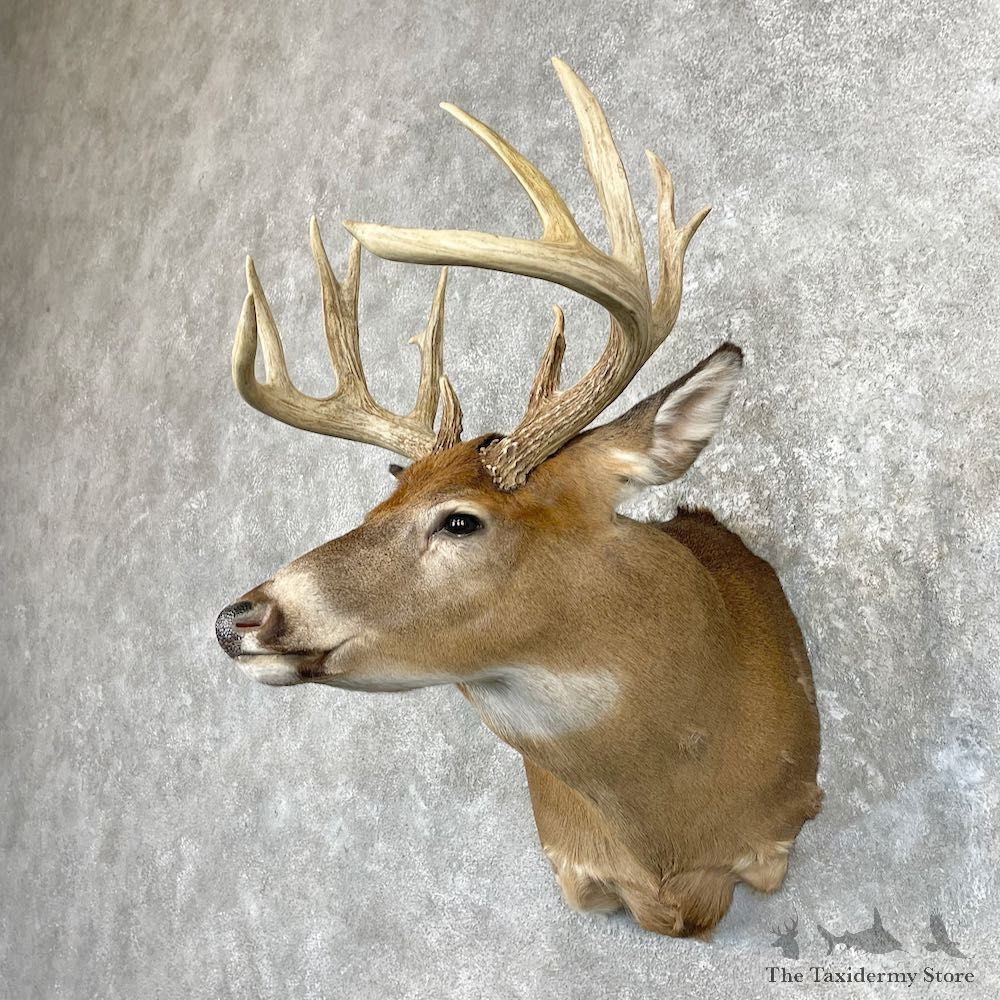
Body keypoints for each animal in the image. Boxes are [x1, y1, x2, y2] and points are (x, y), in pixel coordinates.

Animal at [215, 57, 823, 938]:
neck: (670, 844)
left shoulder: (781, 824)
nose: (240, 616)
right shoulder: (573, 868)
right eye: (374, 510)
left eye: (460, 521)